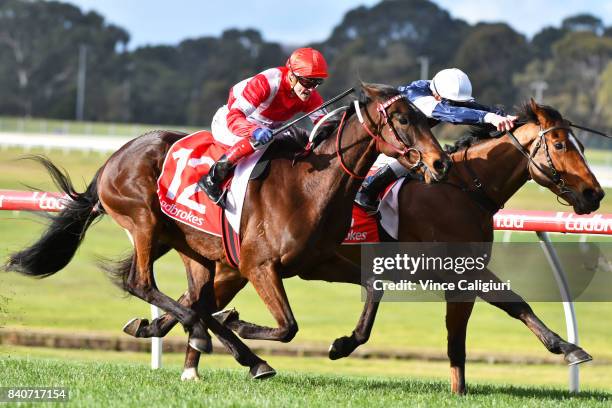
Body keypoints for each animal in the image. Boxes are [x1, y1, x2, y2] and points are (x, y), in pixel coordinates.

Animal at [2, 82, 448, 380]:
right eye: (404, 118)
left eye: (427, 118)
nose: (439, 163)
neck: (309, 186)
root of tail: (116, 156)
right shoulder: (259, 265)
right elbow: (288, 326)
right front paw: (239, 326)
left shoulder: (318, 262)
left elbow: (373, 288)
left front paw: (341, 345)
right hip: (144, 222)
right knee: (142, 283)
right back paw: (214, 338)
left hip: (187, 244)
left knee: (193, 298)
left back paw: (211, 342)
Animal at [131, 99, 604, 392]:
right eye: (560, 144)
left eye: (581, 144)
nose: (595, 194)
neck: (460, 189)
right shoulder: (457, 270)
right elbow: (499, 309)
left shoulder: (448, 273)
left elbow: (501, 309)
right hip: (240, 266)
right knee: (197, 301)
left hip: (233, 267)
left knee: (195, 301)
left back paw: (168, 341)